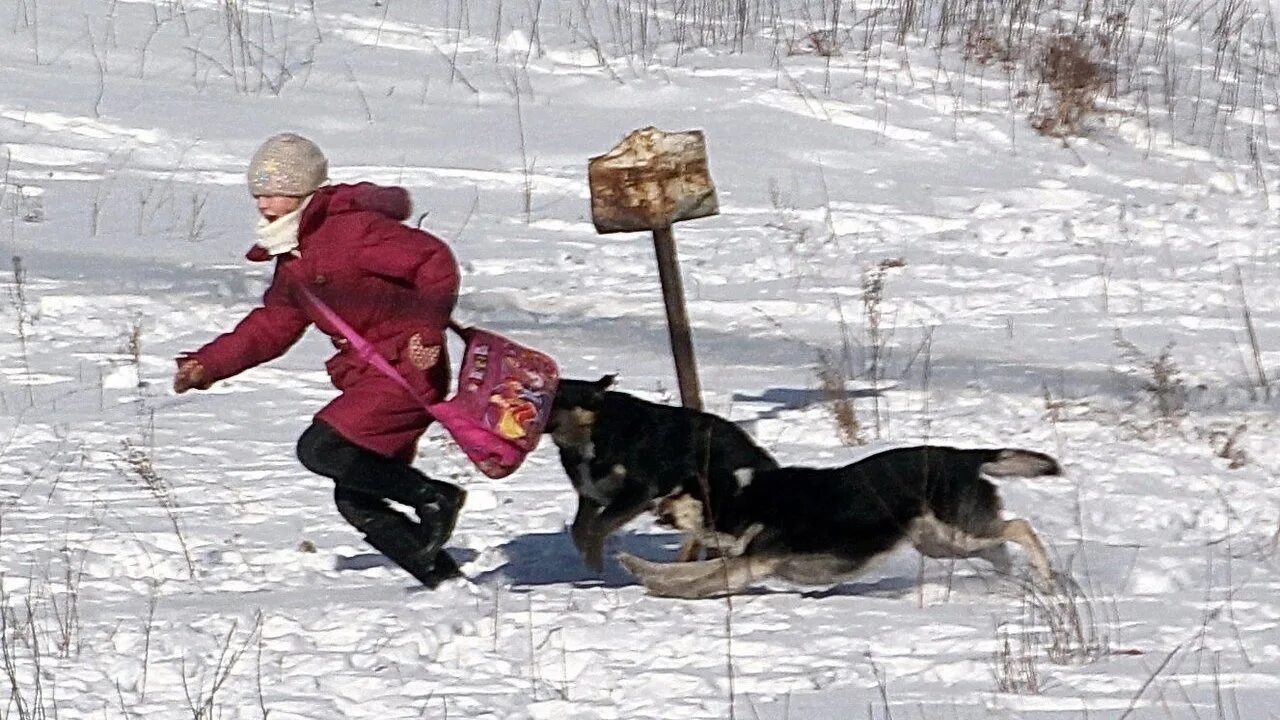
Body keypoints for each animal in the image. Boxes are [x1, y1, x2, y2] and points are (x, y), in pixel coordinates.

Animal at [550, 376, 778, 571]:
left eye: (558, 397)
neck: (594, 431)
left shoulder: (638, 492)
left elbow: (597, 526)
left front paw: (595, 565)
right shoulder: (592, 494)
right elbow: (579, 530)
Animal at [619, 445, 1059, 597]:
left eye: (680, 492)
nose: (652, 502)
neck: (744, 498)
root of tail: (966, 456)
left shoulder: (754, 562)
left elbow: (699, 580)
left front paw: (666, 592)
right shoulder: (747, 557)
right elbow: (681, 570)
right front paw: (639, 569)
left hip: (956, 532)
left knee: (1020, 527)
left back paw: (1046, 578)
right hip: (939, 543)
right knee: (1000, 548)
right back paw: (1010, 583)